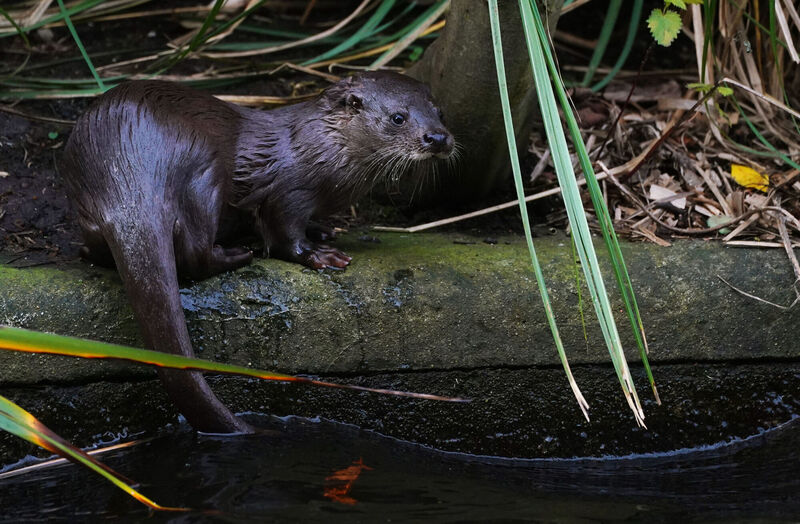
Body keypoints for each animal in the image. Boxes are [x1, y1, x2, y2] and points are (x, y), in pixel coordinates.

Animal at [60, 72, 454, 434]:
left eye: (440, 112)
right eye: (398, 117)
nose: (437, 137)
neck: (319, 149)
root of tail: (130, 169)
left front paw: (323, 230)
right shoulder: (289, 192)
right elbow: (284, 236)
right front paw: (320, 255)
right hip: (204, 172)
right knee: (194, 254)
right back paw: (238, 255)